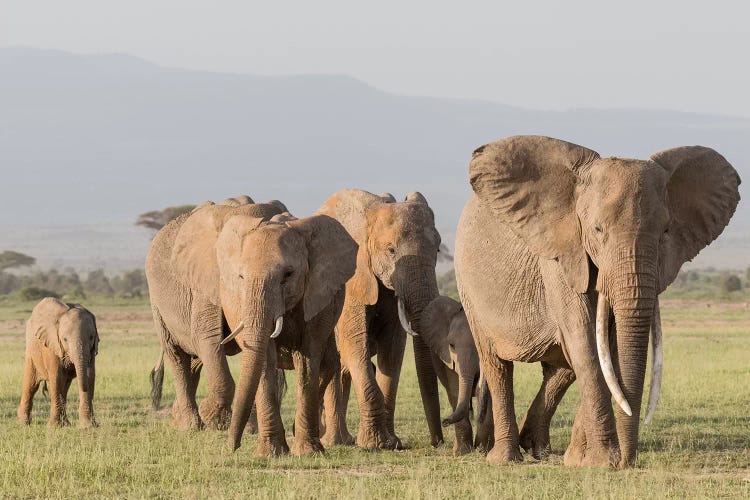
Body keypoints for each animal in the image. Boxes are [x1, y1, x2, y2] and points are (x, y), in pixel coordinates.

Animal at [18, 296, 100, 430]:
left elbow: (90, 375)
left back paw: (66, 424)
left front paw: (89, 426)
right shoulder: (51, 345)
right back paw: (23, 423)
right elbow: (56, 377)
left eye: (91, 337)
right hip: (31, 351)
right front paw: (53, 427)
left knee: (64, 387)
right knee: (31, 385)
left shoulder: (91, 350)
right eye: (65, 339)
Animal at [148, 197, 360, 456]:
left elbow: (308, 358)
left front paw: (306, 452)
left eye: (288, 275)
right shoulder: (211, 283)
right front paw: (264, 448)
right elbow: (212, 341)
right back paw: (190, 425)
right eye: (240, 276)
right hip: (157, 302)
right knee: (178, 356)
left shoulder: (316, 291)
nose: (232, 447)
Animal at [318, 190, 446, 450]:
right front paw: (375, 444)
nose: (438, 442)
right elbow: (355, 344)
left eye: (438, 250)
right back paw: (334, 442)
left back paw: (344, 441)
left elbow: (393, 350)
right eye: (391, 250)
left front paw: (392, 442)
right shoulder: (351, 279)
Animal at [420, 294, 496, 456]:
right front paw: (462, 452)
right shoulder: (447, 357)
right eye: (452, 345)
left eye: (480, 346)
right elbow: (455, 387)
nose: (444, 421)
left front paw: (484, 450)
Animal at [456, 135, 744, 466]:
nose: (629, 462)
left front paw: (582, 461)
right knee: (497, 364)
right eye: (597, 230)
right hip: (469, 289)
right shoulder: (561, 255)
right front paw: (603, 462)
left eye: (665, 231)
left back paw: (539, 450)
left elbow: (608, 345)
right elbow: (586, 341)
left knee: (562, 368)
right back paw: (505, 458)